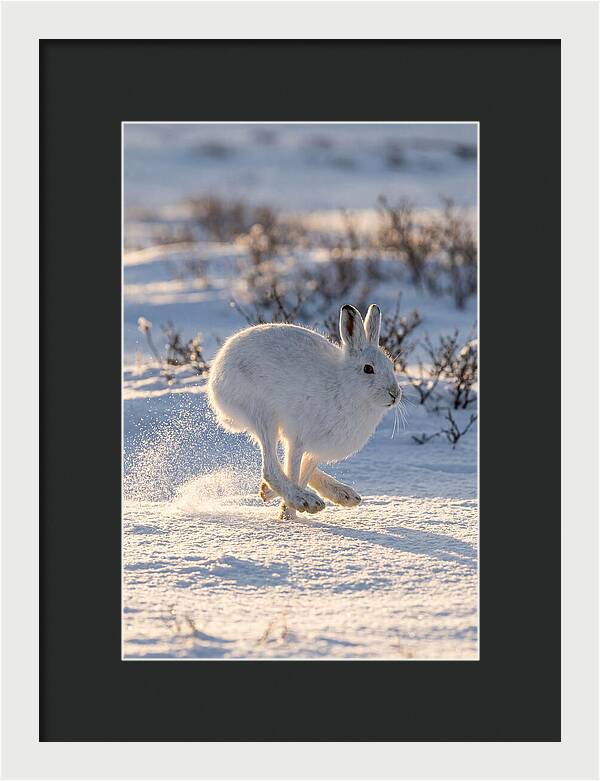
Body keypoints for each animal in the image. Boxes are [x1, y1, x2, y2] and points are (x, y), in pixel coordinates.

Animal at [207, 303, 401, 519]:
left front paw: (283, 508)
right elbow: (293, 471)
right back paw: (305, 500)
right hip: (262, 414)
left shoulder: (316, 449)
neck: (345, 386)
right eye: (368, 369)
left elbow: (303, 472)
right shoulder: (299, 439)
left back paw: (342, 495)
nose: (395, 393)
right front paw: (289, 514)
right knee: (271, 468)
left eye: (391, 365)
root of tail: (217, 372)